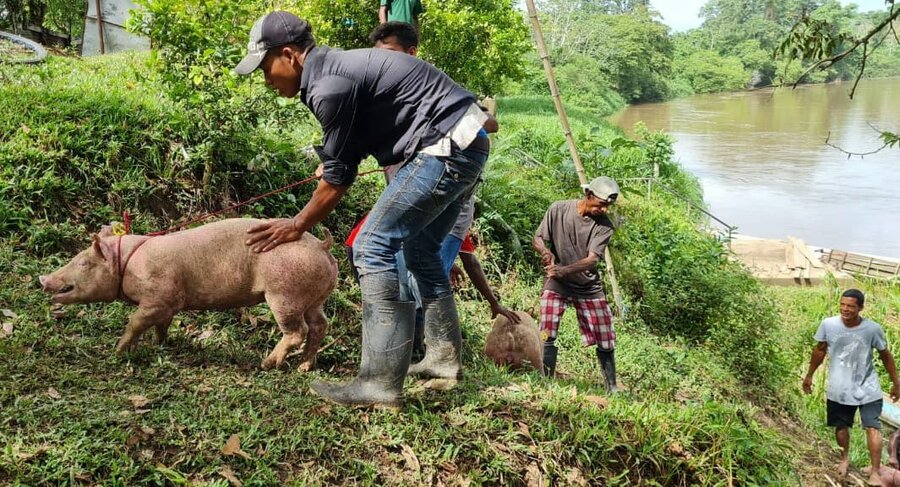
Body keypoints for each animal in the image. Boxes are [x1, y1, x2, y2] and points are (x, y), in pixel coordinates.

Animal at [37, 219, 336, 372]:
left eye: (83, 263)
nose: (43, 279)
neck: (128, 265)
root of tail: (322, 246)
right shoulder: (168, 303)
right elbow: (161, 325)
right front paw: (160, 344)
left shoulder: (157, 297)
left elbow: (135, 322)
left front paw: (118, 350)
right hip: (314, 297)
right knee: (320, 325)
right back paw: (304, 367)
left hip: (284, 294)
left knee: (297, 331)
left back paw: (266, 363)